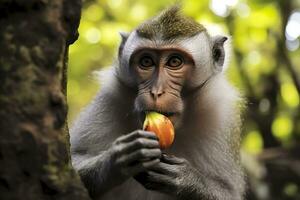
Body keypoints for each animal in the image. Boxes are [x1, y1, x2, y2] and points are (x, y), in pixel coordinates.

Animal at [69, 6, 245, 200]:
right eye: (146, 61)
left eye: (175, 61)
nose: (156, 92)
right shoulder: (108, 100)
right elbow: (72, 158)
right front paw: (115, 160)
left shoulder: (222, 117)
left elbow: (229, 192)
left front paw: (186, 180)